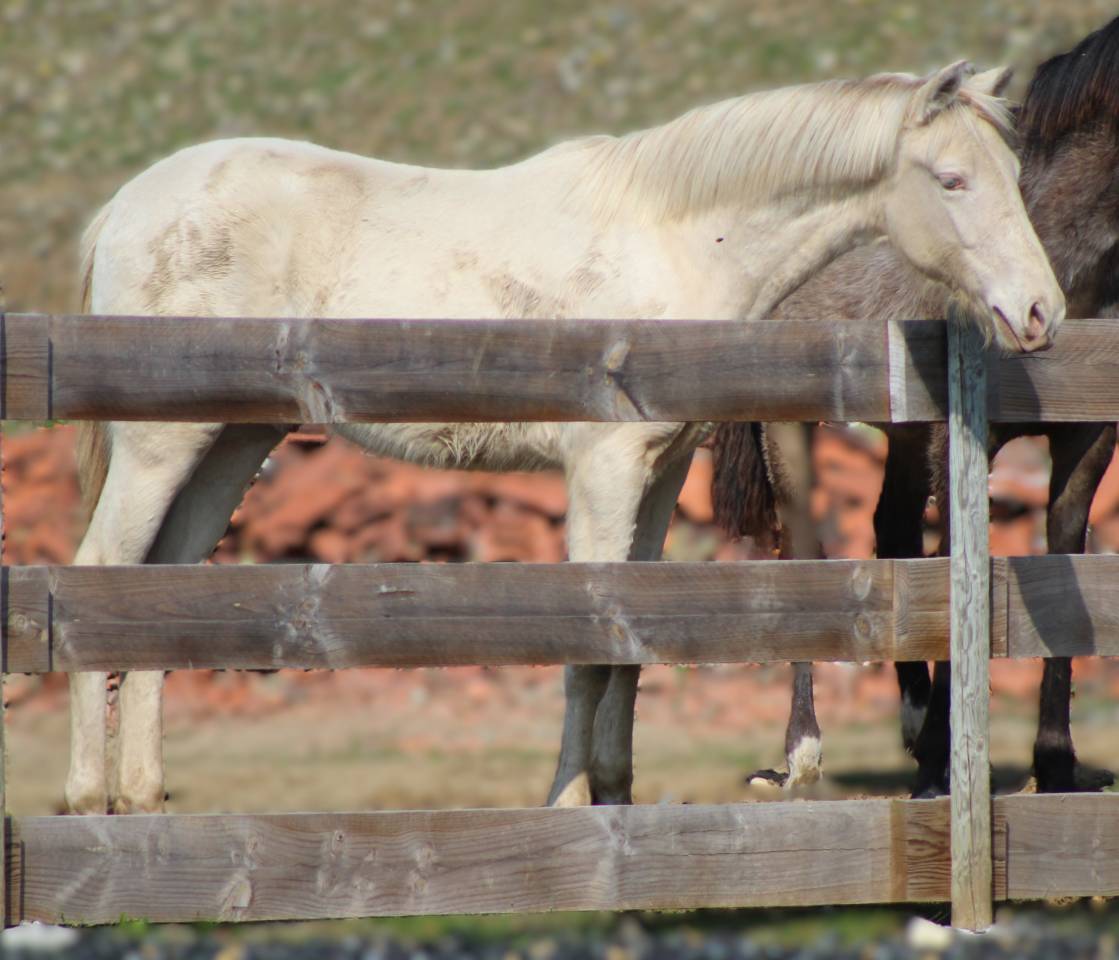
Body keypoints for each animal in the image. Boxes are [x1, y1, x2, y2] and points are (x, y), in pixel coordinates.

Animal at [68, 63, 1060, 816]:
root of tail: (122, 208)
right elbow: (588, 643)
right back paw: (87, 803)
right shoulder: (604, 471)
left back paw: (144, 800)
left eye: (1011, 176)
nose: (1039, 313)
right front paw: (569, 810)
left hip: (230, 445)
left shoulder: (660, 474)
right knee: (96, 576)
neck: (674, 236)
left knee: (158, 598)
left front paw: (614, 798)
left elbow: (629, 644)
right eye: (951, 180)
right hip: (162, 449)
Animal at [710, 16, 1119, 797]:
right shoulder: (957, 442)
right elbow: (956, 565)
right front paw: (941, 763)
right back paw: (801, 753)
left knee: (890, 529)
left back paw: (911, 716)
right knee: (804, 551)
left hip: (900, 439)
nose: (1036, 315)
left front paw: (1053, 762)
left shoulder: (1086, 441)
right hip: (790, 428)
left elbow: (1061, 562)